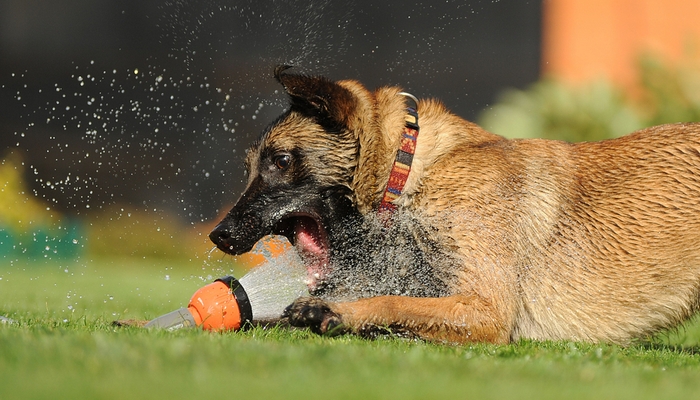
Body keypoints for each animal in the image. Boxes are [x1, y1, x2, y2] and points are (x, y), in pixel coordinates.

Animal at [208, 65, 700, 344]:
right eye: (252, 165)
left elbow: (394, 302)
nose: (218, 235)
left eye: (281, 161)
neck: (411, 172)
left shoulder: (486, 309)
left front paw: (337, 312)